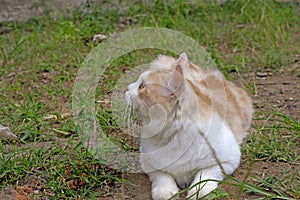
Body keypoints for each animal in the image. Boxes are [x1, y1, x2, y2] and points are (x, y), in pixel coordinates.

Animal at [124, 53, 253, 200]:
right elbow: (163, 177)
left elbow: (205, 176)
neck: (173, 134)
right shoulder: (148, 164)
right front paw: (165, 193)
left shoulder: (227, 160)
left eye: (141, 87)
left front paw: (198, 192)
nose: (127, 88)